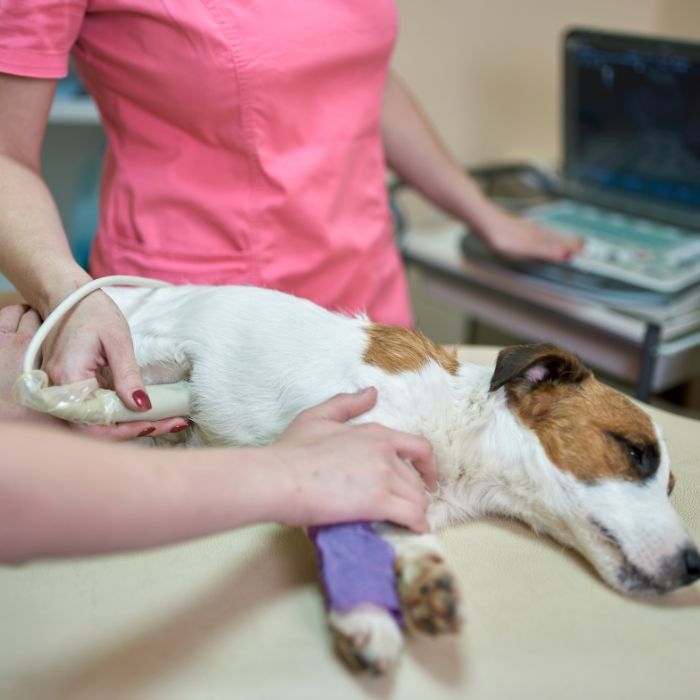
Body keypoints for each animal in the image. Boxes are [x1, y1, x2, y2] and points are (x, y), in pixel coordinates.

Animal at [105, 284, 700, 672]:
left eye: (671, 485)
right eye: (635, 452)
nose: (695, 565)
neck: (460, 424)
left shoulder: (399, 495)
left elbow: (403, 535)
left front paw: (414, 588)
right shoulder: (347, 449)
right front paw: (367, 613)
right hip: (152, 358)